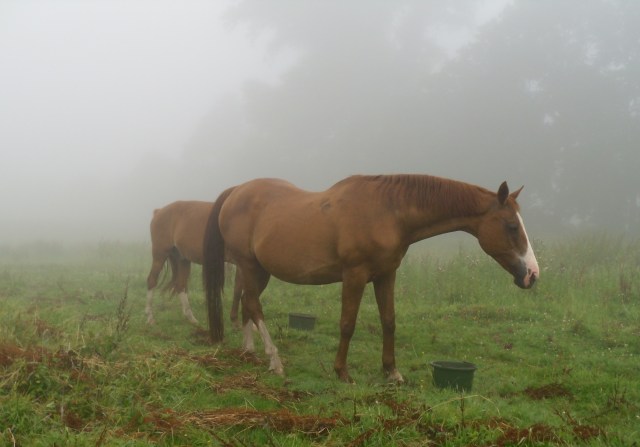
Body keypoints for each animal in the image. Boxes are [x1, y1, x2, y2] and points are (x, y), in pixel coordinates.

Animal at [202, 174, 539, 383]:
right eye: (511, 226)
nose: (532, 275)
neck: (388, 211)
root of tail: (236, 191)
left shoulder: (385, 275)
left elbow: (389, 321)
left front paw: (392, 372)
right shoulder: (355, 275)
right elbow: (347, 324)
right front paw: (342, 372)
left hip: (259, 270)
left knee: (247, 303)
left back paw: (250, 351)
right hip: (248, 265)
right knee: (253, 305)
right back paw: (275, 361)